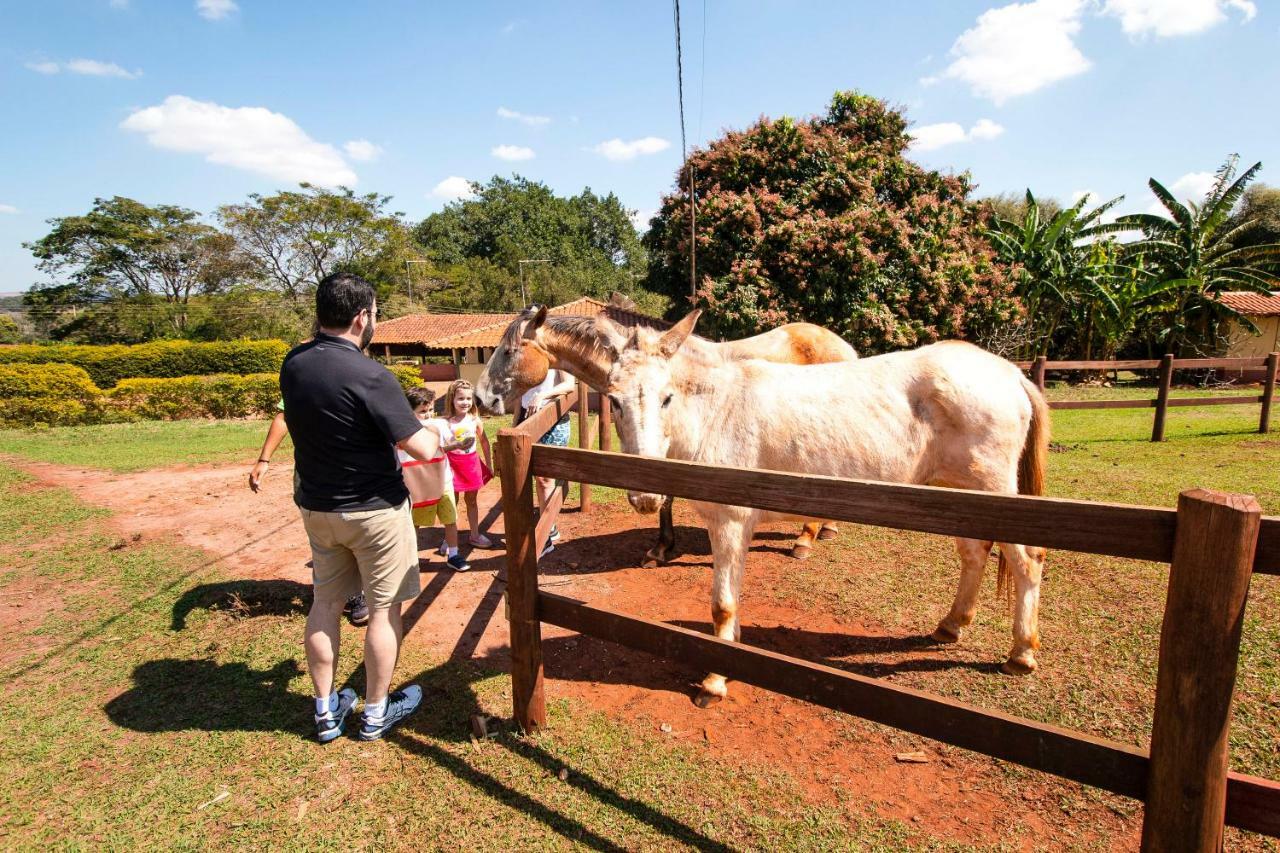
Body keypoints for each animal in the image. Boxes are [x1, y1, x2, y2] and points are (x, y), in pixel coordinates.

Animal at [473, 302, 860, 560]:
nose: (480, 397)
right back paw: (826, 528)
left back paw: (805, 540)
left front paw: (660, 547)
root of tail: (844, 346)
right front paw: (662, 544)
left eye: (508, 351)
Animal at [601, 311, 1049, 701]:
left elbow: (722, 605)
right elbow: (733, 598)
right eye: (614, 401)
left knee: (1028, 561)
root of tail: (1009, 373)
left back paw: (1021, 653)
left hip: (994, 492)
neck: (716, 411)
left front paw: (714, 682)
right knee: (974, 553)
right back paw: (951, 626)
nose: (645, 496)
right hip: (963, 495)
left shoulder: (730, 521)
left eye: (667, 399)